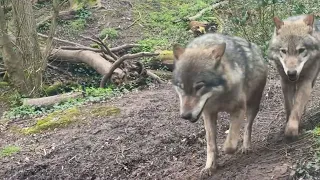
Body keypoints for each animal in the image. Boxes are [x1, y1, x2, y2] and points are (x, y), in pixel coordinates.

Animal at [172, 33, 268, 178]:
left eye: (199, 87)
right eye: (181, 87)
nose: (185, 116)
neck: (219, 97)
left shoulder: (238, 109)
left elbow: (230, 144)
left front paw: (226, 150)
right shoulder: (208, 114)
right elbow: (211, 145)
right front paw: (210, 167)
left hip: (253, 105)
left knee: (248, 127)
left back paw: (246, 147)